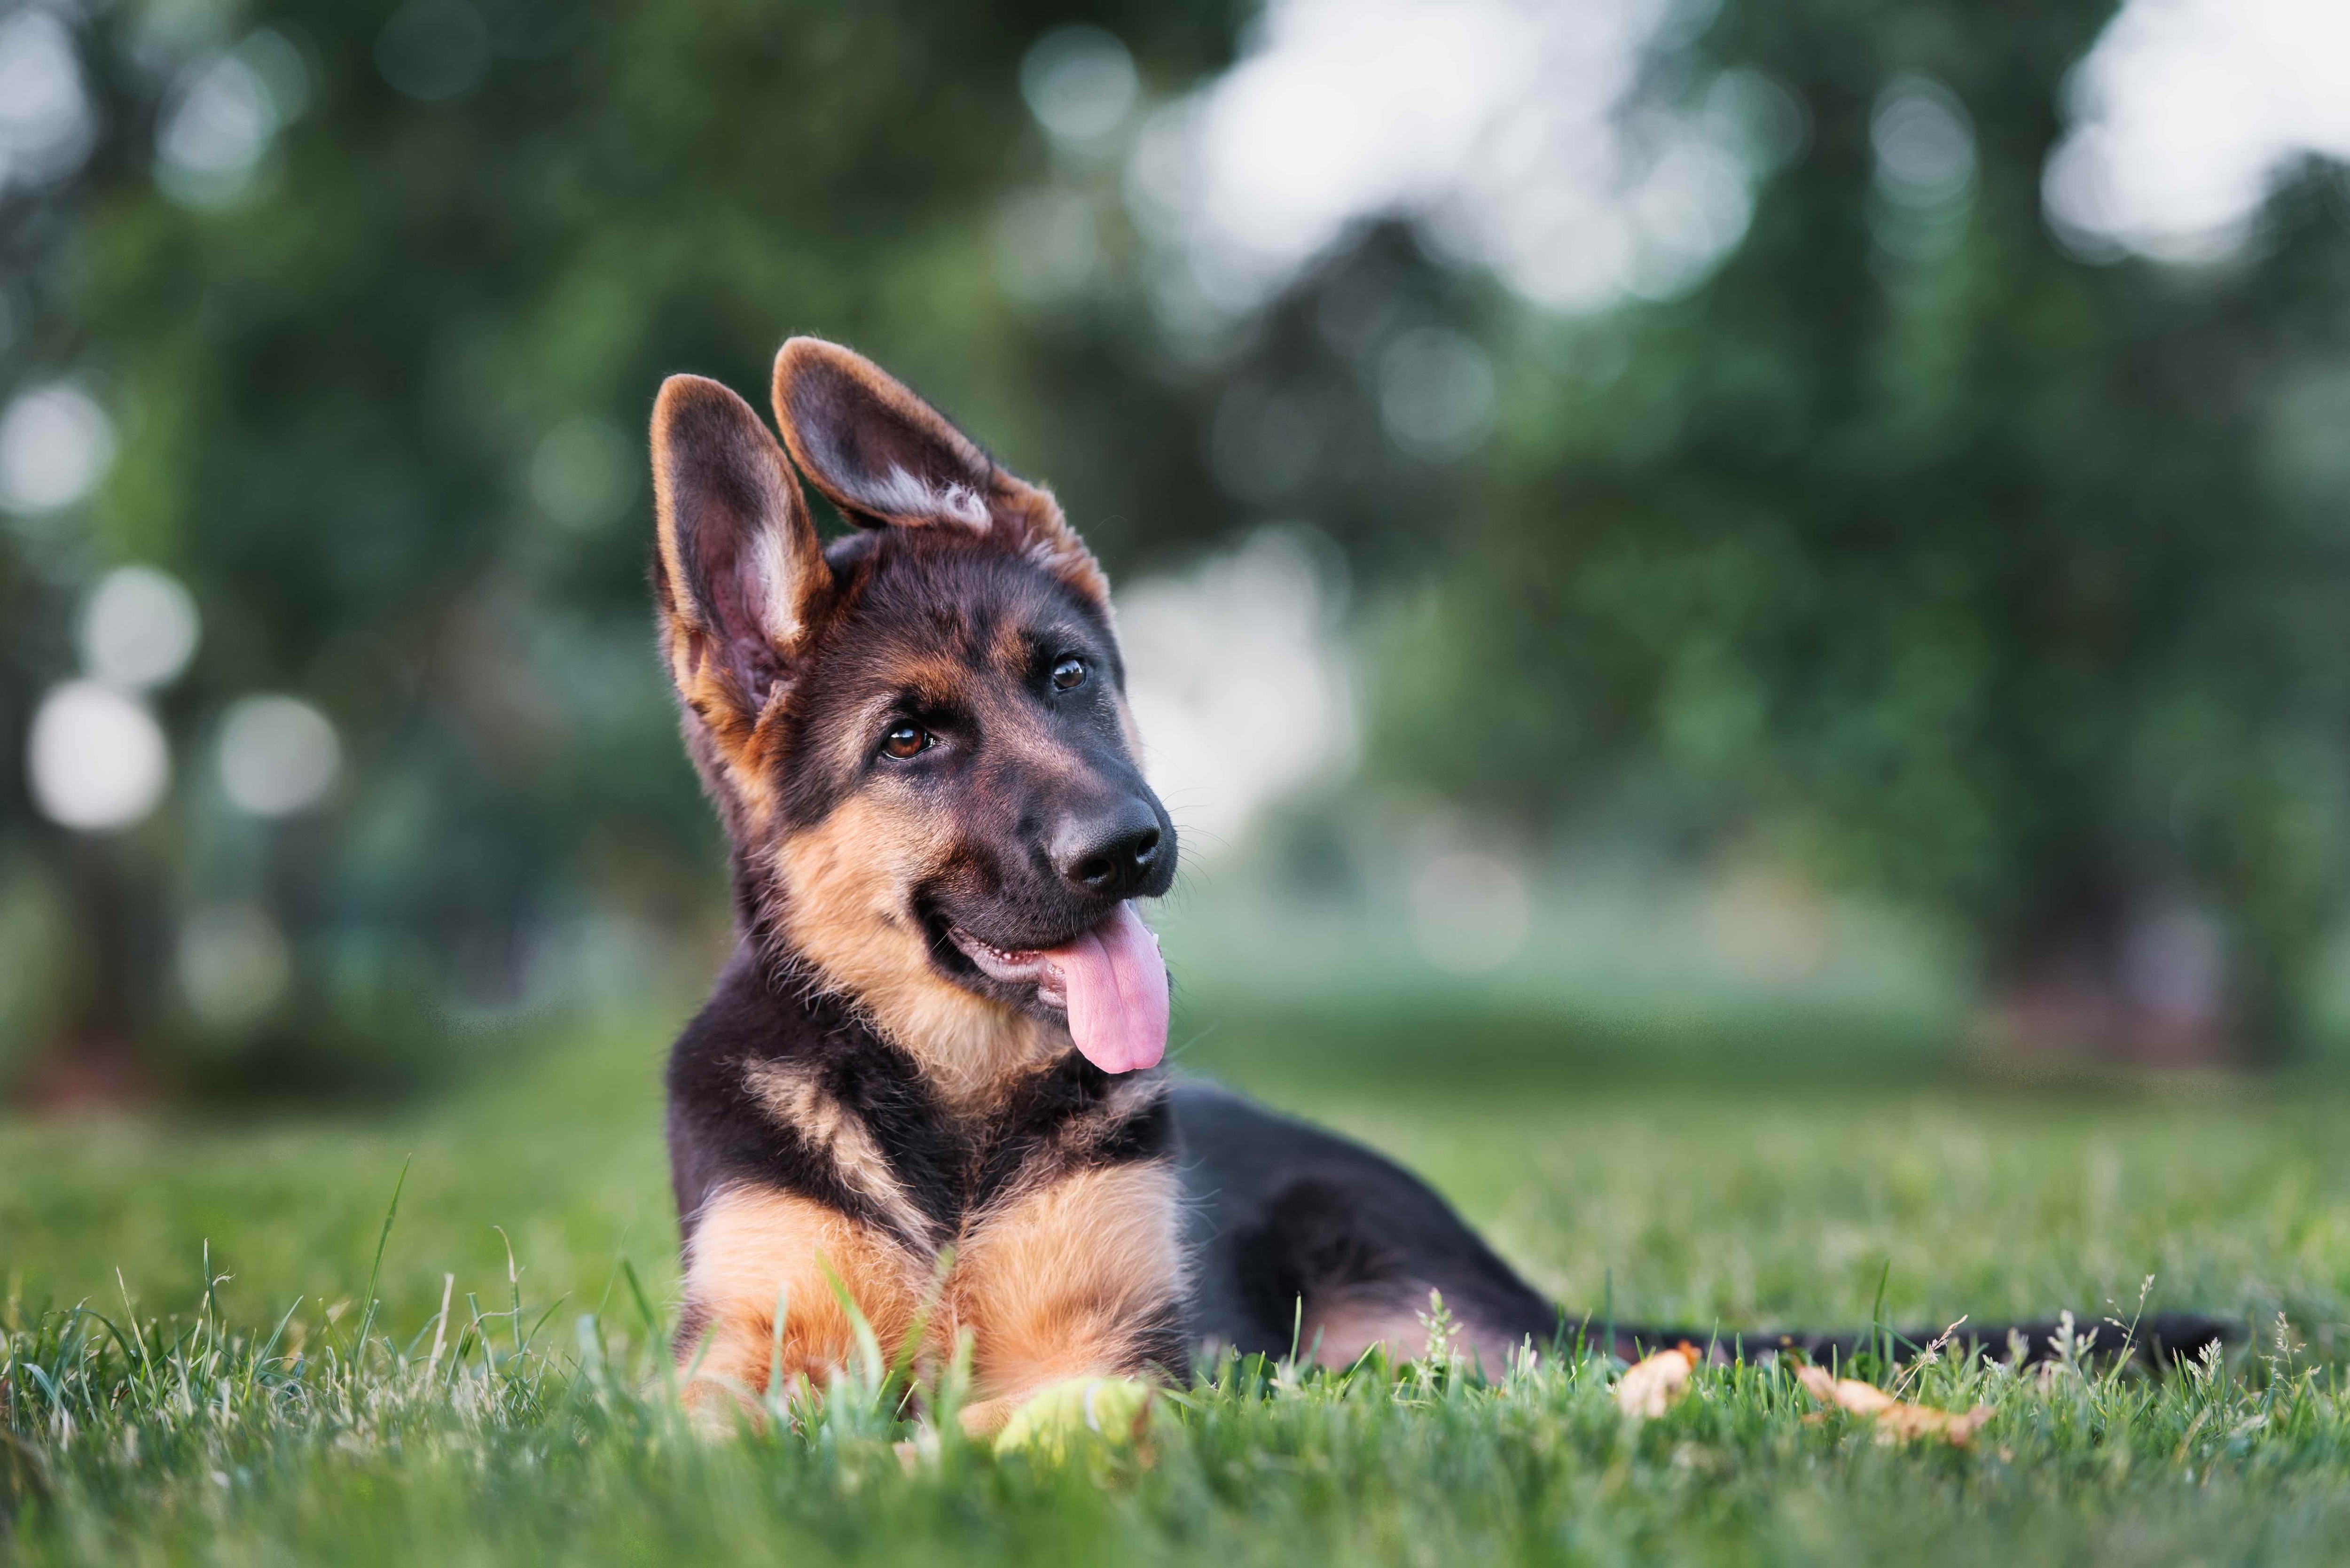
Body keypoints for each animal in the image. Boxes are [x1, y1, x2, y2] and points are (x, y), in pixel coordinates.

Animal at [653, 341, 2228, 1438]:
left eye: (1068, 676)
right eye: (909, 741)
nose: (1130, 845)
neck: (947, 1113)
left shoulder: (1106, 1347)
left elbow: (1053, 1407)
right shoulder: (747, 1352)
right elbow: (728, 1434)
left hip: (1416, 1324)